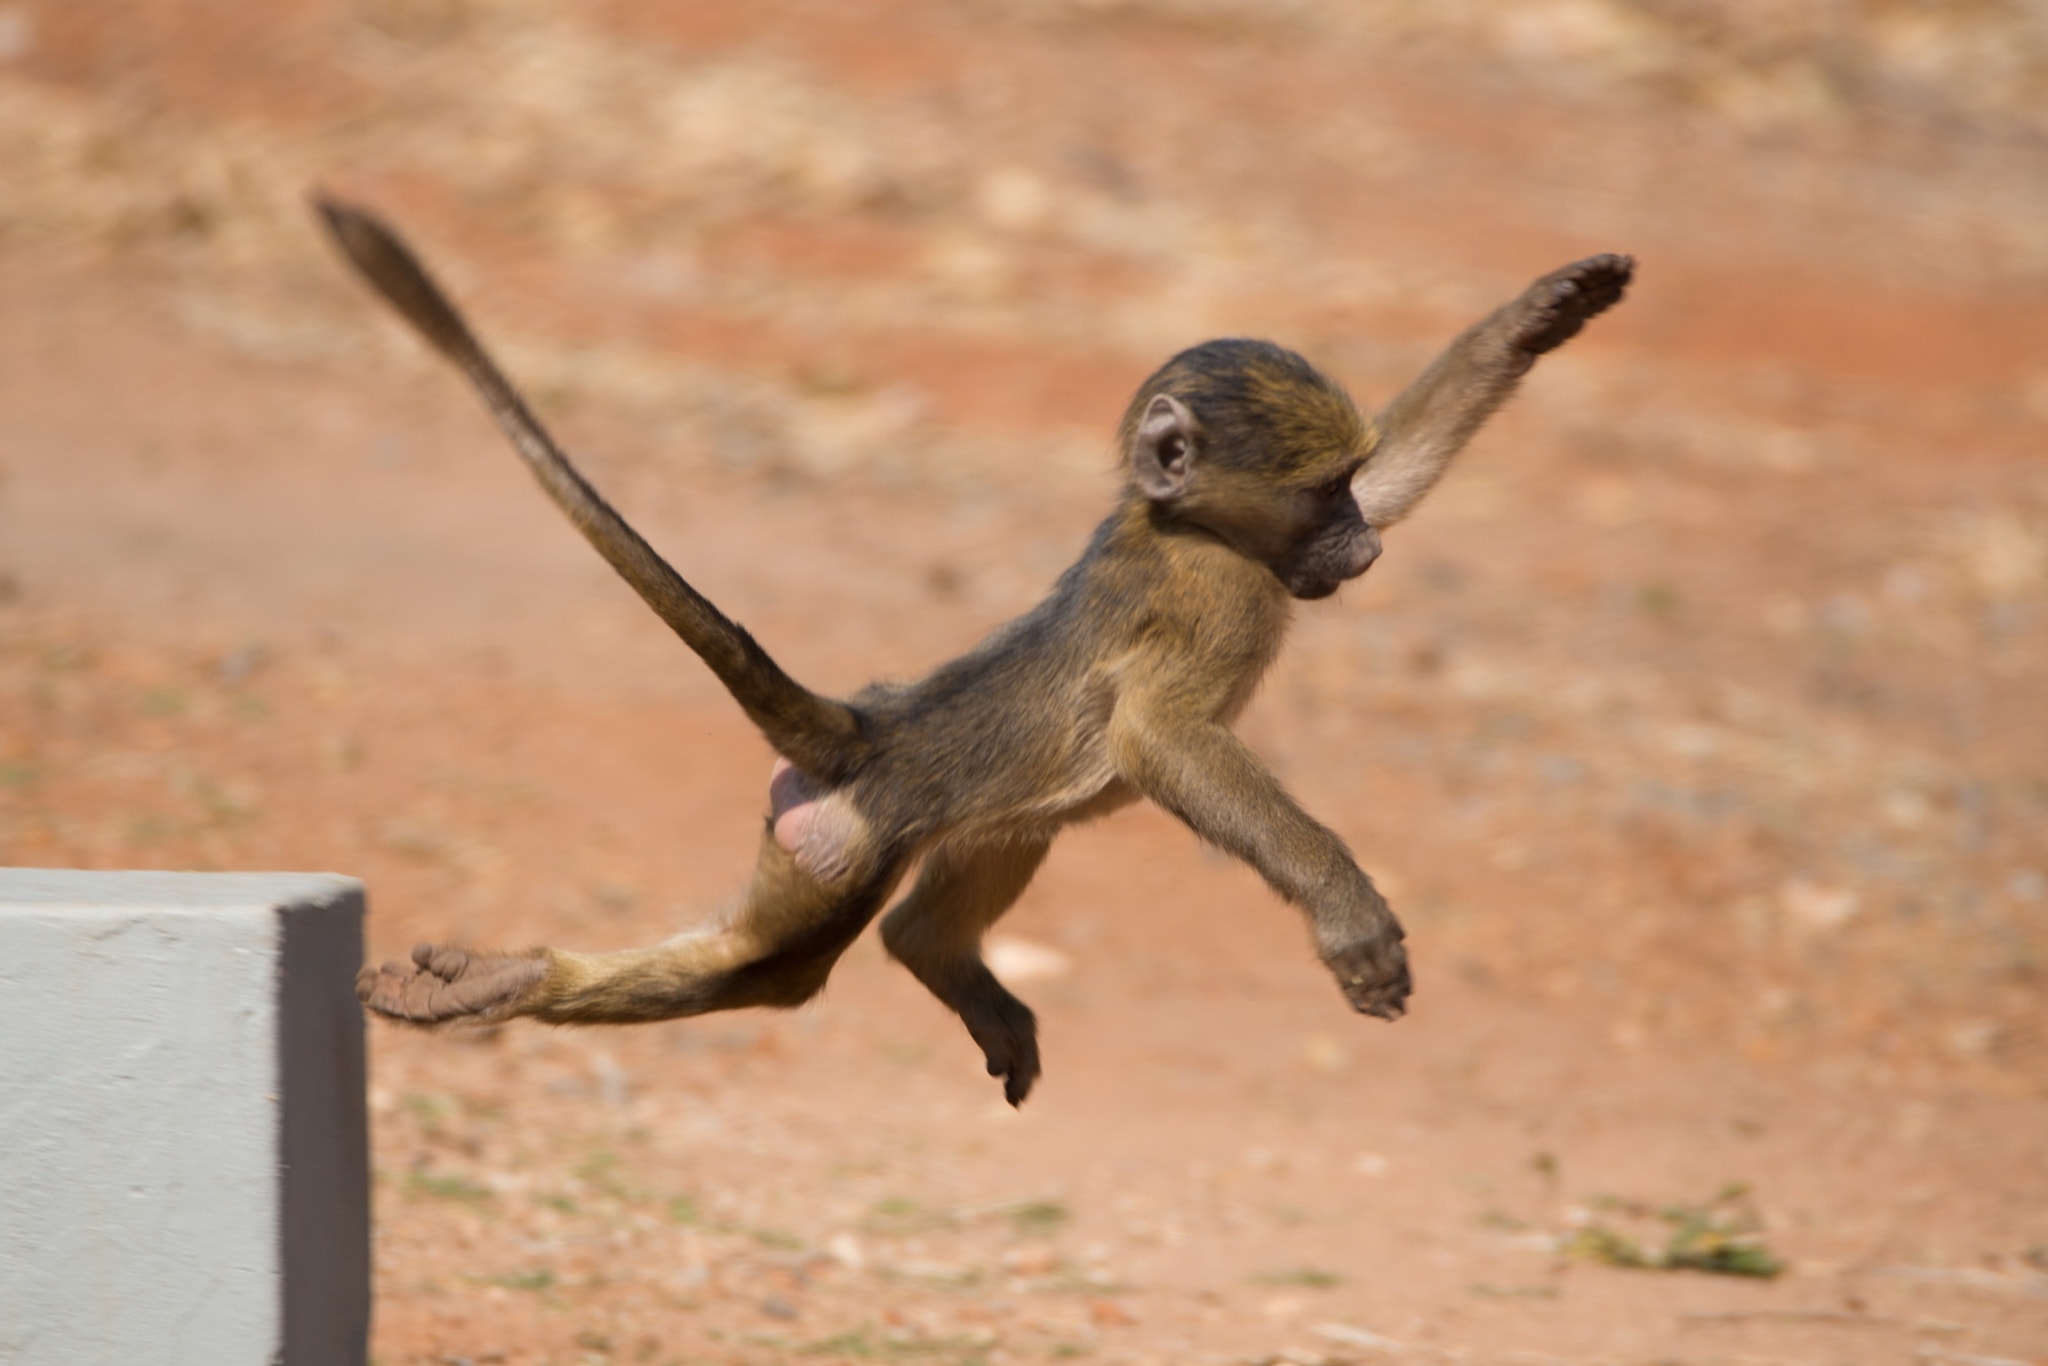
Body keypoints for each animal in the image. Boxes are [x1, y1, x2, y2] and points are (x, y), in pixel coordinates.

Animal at [320, 196, 1630, 1105]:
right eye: (1318, 496)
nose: (1360, 552)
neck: (1177, 521)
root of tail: (878, 727)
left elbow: (1407, 468)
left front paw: (1545, 310)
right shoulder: (1220, 592)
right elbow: (1160, 736)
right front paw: (1345, 916)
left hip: (874, 825)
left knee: (892, 908)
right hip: (845, 838)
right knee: (773, 971)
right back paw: (523, 984)